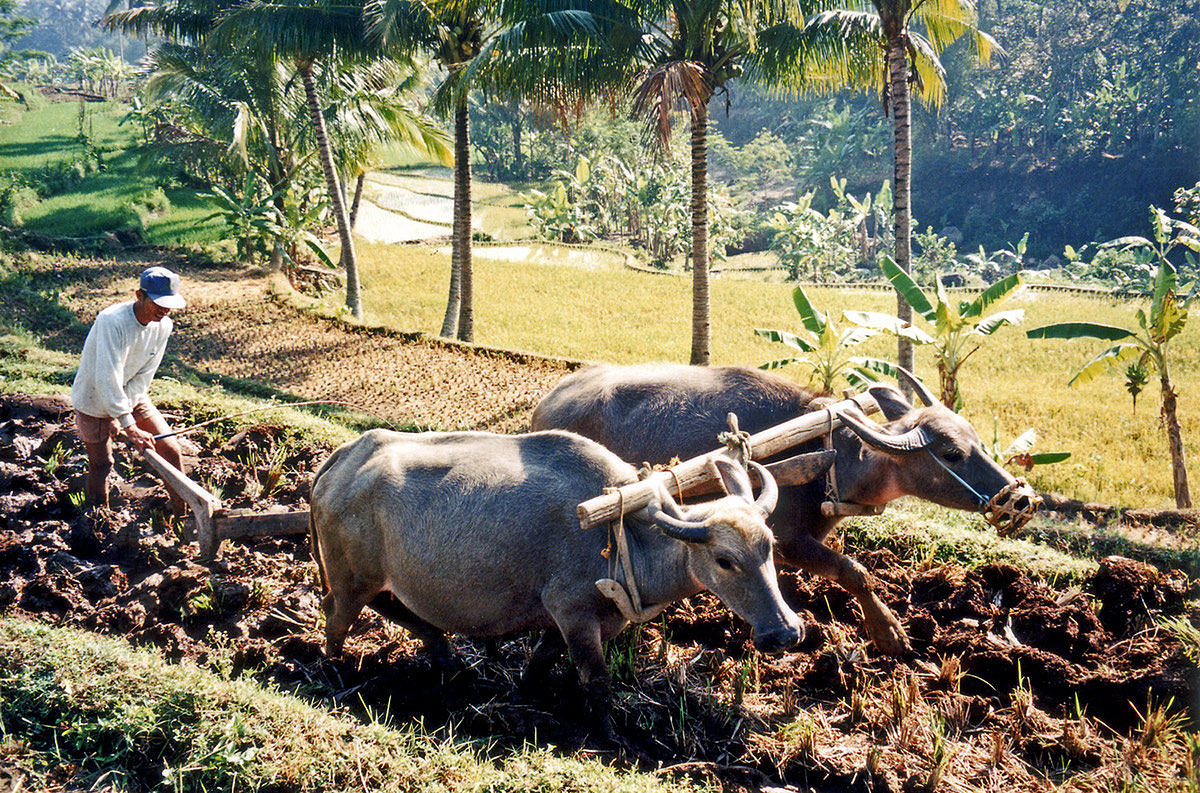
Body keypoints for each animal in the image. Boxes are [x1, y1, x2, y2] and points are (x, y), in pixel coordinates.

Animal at [309, 427, 801, 724]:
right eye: (724, 560)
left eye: (769, 546)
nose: (786, 632)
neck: (624, 535)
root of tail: (344, 457)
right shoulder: (574, 614)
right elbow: (595, 679)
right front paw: (610, 733)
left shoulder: (564, 620)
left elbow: (542, 659)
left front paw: (524, 691)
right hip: (350, 578)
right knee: (336, 616)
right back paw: (333, 672)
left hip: (373, 579)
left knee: (393, 608)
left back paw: (443, 654)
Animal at [530, 362, 1036, 652]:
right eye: (951, 453)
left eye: (976, 438)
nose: (1022, 499)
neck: (832, 458)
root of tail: (545, 404)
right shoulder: (791, 540)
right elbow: (855, 572)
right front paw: (889, 634)